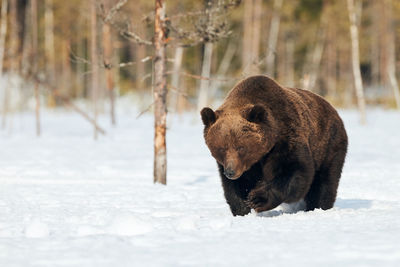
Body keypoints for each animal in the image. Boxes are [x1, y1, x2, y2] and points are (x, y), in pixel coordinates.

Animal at [199, 74, 346, 217]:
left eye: (241, 147)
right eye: (221, 148)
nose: (231, 172)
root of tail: (332, 108)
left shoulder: (285, 139)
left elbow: (296, 171)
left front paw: (257, 198)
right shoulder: (239, 166)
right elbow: (234, 187)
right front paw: (242, 209)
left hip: (328, 145)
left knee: (325, 181)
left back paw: (318, 207)